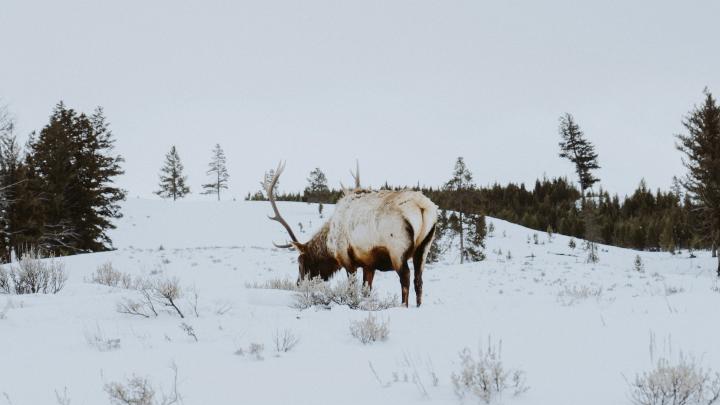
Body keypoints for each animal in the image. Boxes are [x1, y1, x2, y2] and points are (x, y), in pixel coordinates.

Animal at [262, 161, 436, 306]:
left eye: (300, 262)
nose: (298, 284)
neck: (329, 244)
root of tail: (421, 207)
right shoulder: (368, 264)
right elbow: (366, 291)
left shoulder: (346, 258)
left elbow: (352, 289)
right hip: (424, 247)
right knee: (419, 280)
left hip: (397, 249)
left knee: (405, 277)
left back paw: (403, 306)